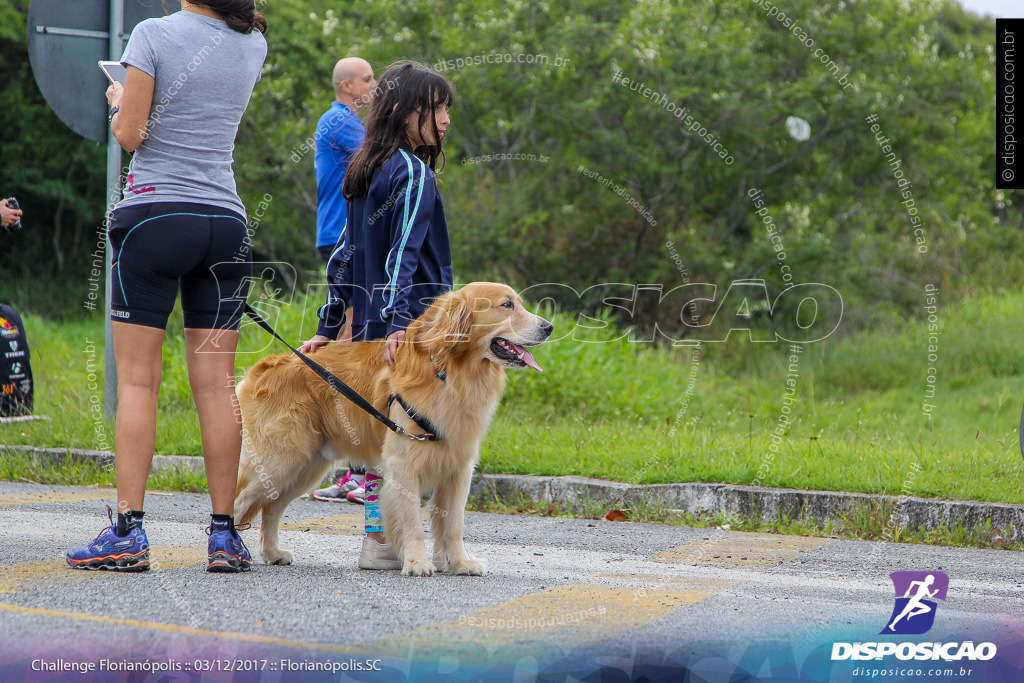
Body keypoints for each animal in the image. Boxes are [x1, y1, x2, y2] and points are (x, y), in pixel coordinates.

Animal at [234, 282, 552, 577]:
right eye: (507, 305)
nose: (549, 327)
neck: (449, 371)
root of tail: (269, 366)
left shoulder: (459, 466)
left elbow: (453, 524)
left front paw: (460, 563)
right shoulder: (404, 464)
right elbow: (412, 522)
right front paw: (416, 563)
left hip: (305, 466)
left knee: (271, 507)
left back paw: (272, 553)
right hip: (280, 459)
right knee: (240, 500)